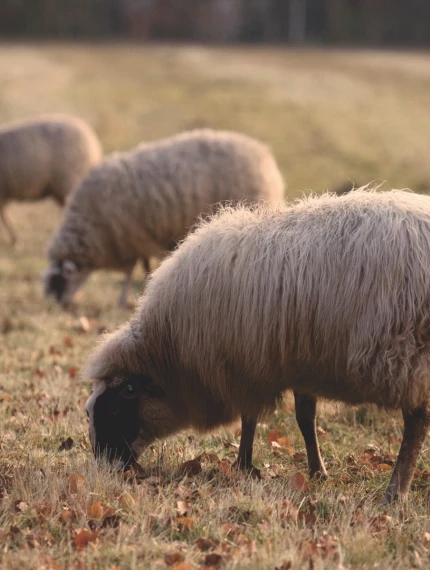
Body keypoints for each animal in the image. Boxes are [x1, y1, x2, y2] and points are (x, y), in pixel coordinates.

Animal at [42, 129, 286, 306]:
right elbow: (142, 265)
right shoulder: (137, 237)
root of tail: (264, 153)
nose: (58, 306)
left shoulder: (132, 236)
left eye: (59, 280)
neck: (92, 225)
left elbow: (132, 270)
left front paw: (126, 298)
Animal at [85, 189, 430, 500]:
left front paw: (243, 465)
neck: (172, 351)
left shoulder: (244, 366)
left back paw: (395, 491)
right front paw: (317, 471)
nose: (103, 467)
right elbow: (304, 419)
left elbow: (249, 418)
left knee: (416, 422)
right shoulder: (296, 363)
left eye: (113, 406)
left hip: (406, 354)